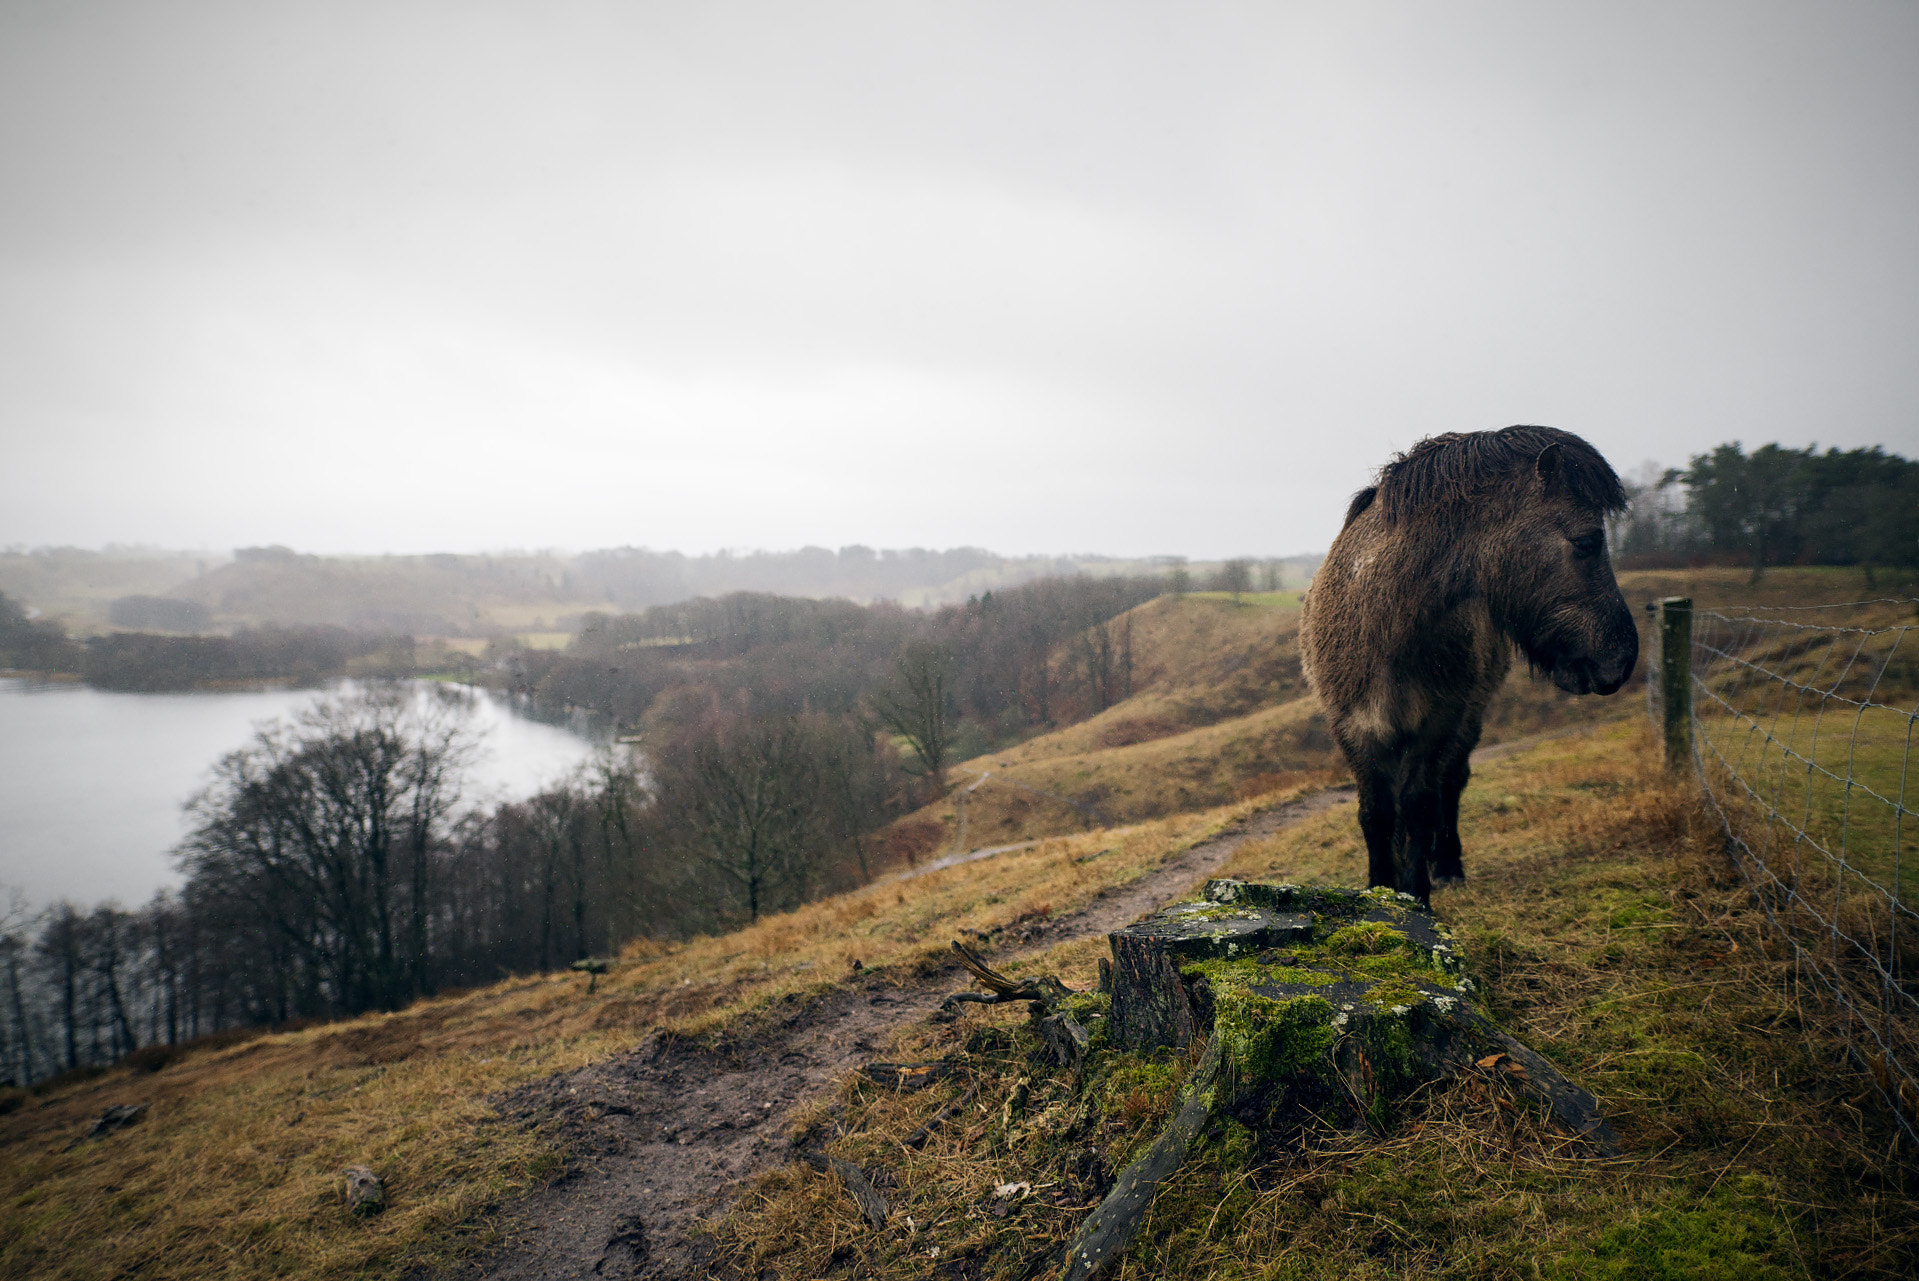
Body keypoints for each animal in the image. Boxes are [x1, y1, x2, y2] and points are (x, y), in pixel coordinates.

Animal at [1289, 425, 1634, 897]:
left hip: (1469, 715)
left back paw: (1447, 864)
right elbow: (1376, 812)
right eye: (1587, 541)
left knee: (1449, 784)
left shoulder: (1438, 721)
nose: (1623, 657)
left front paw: (1416, 893)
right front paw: (1382, 886)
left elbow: (1419, 803)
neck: (1387, 626)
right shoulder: (1352, 727)